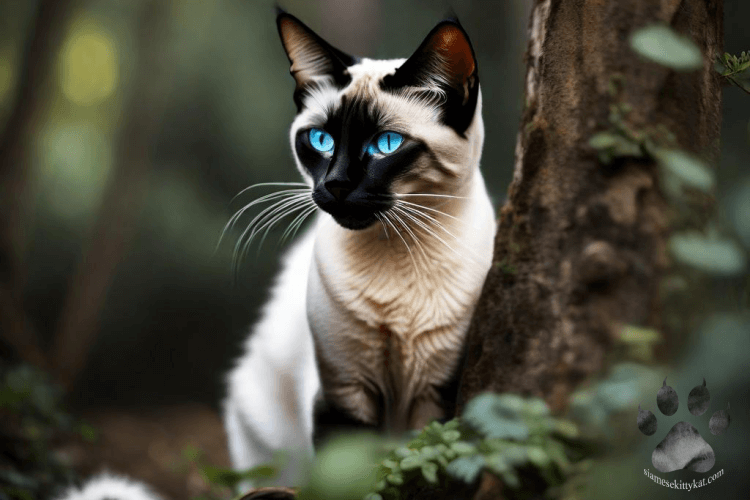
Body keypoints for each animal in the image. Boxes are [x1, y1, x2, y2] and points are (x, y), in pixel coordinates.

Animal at [220, 9, 496, 490]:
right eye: (320, 140)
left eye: (385, 145)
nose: (336, 185)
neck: (397, 251)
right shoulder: (344, 391)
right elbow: (353, 475)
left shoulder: (434, 393)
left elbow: (416, 463)